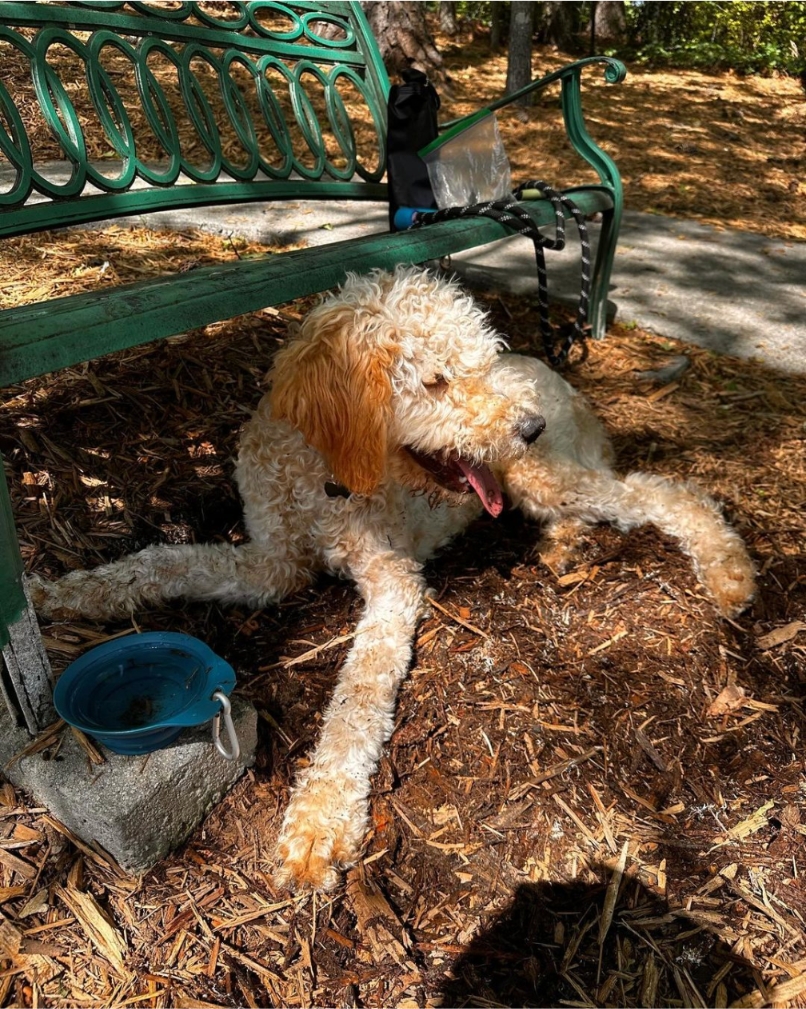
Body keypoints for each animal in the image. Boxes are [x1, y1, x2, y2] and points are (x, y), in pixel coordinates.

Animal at [26, 266, 758, 891]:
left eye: (479, 364)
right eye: (434, 380)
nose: (529, 426)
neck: (328, 476)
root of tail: (555, 374)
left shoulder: (392, 580)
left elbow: (357, 702)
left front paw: (319, 821)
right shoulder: (272, 565)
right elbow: (160, 562)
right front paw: (55, 593)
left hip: (542, 476)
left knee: (665, 493)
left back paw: (727, 572)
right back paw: (565, 547)